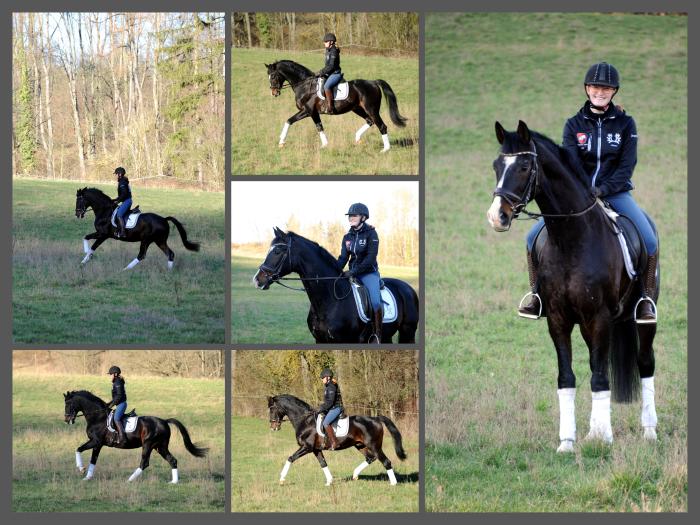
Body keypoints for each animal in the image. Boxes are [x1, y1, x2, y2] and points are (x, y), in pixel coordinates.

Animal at [63, 388, 208, 484]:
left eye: (68, 404)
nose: (67, 419)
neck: (98, 417)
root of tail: (164, 421)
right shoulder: (97, 444)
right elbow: (92, 459)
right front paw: (87, 476)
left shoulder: (96, 441)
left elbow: (79, 450)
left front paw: (81, 469)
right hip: (160, 446)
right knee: (172, 460)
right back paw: (174, 482)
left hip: (148, 444)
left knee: (144, 462)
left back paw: (129, 480)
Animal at [253, 226, 418, 344]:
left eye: (278, 250)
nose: (257, 280)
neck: (331, 300)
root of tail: (408, 288)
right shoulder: (320, 340)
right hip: (388, 335)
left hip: (408, 332)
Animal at [266, 61, 408, 152]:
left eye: (273, 76)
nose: (274, 93)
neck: (305, 85)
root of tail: (373, 82)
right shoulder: (314, 113)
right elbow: (319, 127)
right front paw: (325, 145)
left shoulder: (307, 111)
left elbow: (289, 121)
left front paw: (281, 142)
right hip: (357, 109)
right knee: (370, 121)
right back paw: (357, 138)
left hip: (371, 109)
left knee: (382, 126)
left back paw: (385, 149)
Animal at [270, 396, 410, 486]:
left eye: (272, 409)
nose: (273, 427)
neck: (305, 421)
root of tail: (375, 418)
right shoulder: (316, 449)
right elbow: (323, 463)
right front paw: (329, 482)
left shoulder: (306, 447)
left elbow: (290, 458)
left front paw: (281, 479)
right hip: (360, 445)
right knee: (370, 458)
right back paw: (355, 475)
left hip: (374, 446)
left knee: (386, 461)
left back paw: (393, 483)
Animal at [484, 121, 660, 452]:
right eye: (497, 165)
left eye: (524, 166)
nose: (496, 216)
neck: (572, 238)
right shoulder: (558, 319)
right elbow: (567, 378)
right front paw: (568, 442)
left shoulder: (599, 318)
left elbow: (600, 378)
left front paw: (605, 439)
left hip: (642, 317)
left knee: (645, 363)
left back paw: (649, 431)